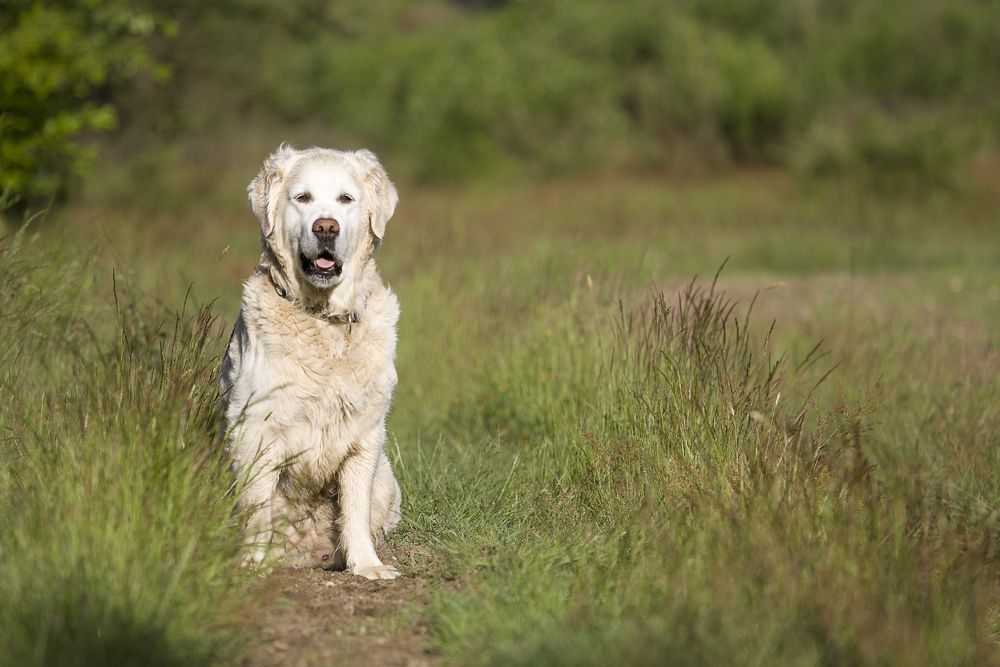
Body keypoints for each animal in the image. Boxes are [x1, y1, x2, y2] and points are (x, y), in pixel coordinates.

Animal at [221, 146, 404, 580]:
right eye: (302, 198)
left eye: (345, 199)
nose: (326, 228)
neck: (324, 320)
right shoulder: (254, 428)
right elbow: (257, 506)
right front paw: (252, 563)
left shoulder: (365, 435)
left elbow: (354, 508)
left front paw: (367, 565)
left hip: (387, 479)